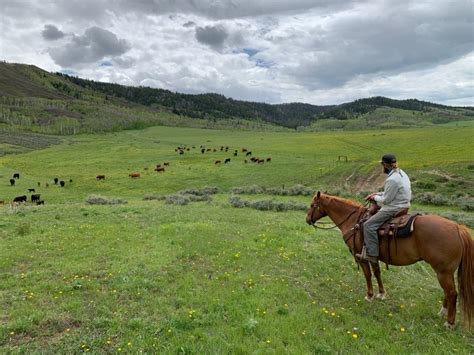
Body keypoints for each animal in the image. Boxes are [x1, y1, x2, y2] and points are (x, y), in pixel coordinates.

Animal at [306, 192, 472, 330]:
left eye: (312, 205)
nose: (307, 220)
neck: (354, 221)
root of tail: (458, 227)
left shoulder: (361, 257)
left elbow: (367, 275)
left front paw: (370, 296)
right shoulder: (372, 255)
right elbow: (377, 273)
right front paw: (381, 294)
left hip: (442, 272)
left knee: (452, 293)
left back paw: (449, 323)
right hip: (445, 272)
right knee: (448, 292)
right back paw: (442, 312)